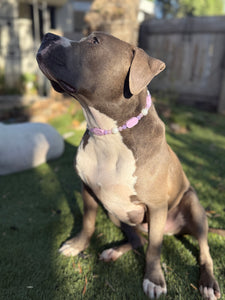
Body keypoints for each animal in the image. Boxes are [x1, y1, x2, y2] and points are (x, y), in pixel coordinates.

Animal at [36, 31, 220, 298]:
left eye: (94, 41)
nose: (48, 35)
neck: (108, 132)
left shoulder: (156, 207)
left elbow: (154, 249)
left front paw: (154, 280)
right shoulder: (88, 190)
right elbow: (88, 223)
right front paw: (77, 245)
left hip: (193, 206)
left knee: (203, 251)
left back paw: (208, 283)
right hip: (115, 212)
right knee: (138, 240)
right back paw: (113, 252)